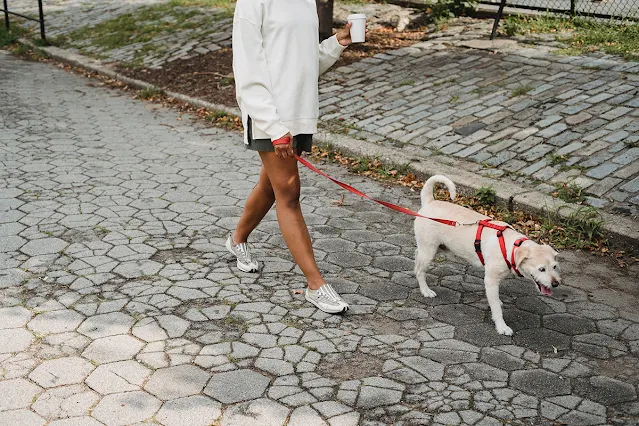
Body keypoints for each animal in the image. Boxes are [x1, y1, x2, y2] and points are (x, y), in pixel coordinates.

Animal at [416, 175, 560, 334]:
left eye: (554, 267)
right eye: (541, 269)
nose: (556, 284)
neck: (511, 247)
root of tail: (430, 201)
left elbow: (496, 300)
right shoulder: (490, 281)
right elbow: (496, 309)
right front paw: (502, 326)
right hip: (429, 251)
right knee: (419, 271)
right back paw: (425, 290)